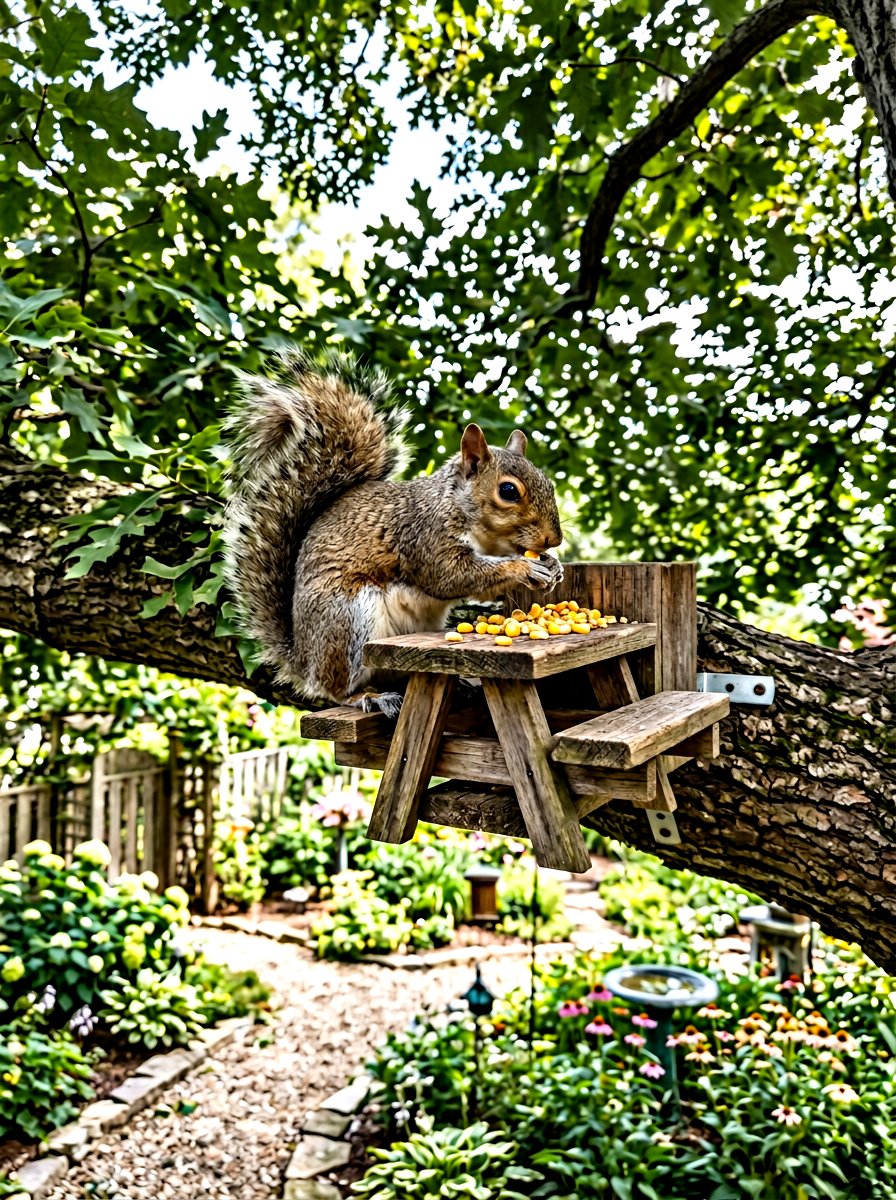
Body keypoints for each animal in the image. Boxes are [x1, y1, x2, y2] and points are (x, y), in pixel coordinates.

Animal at [222, 348, 565, 718]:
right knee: (337, 688)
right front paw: (524, 568)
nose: (554, 539)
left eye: (548, 482)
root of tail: (302, 659)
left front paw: (553, 565)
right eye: (508, 491)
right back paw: (368, 697)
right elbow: (451, 577)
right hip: (347, 618)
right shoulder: (424, 535)